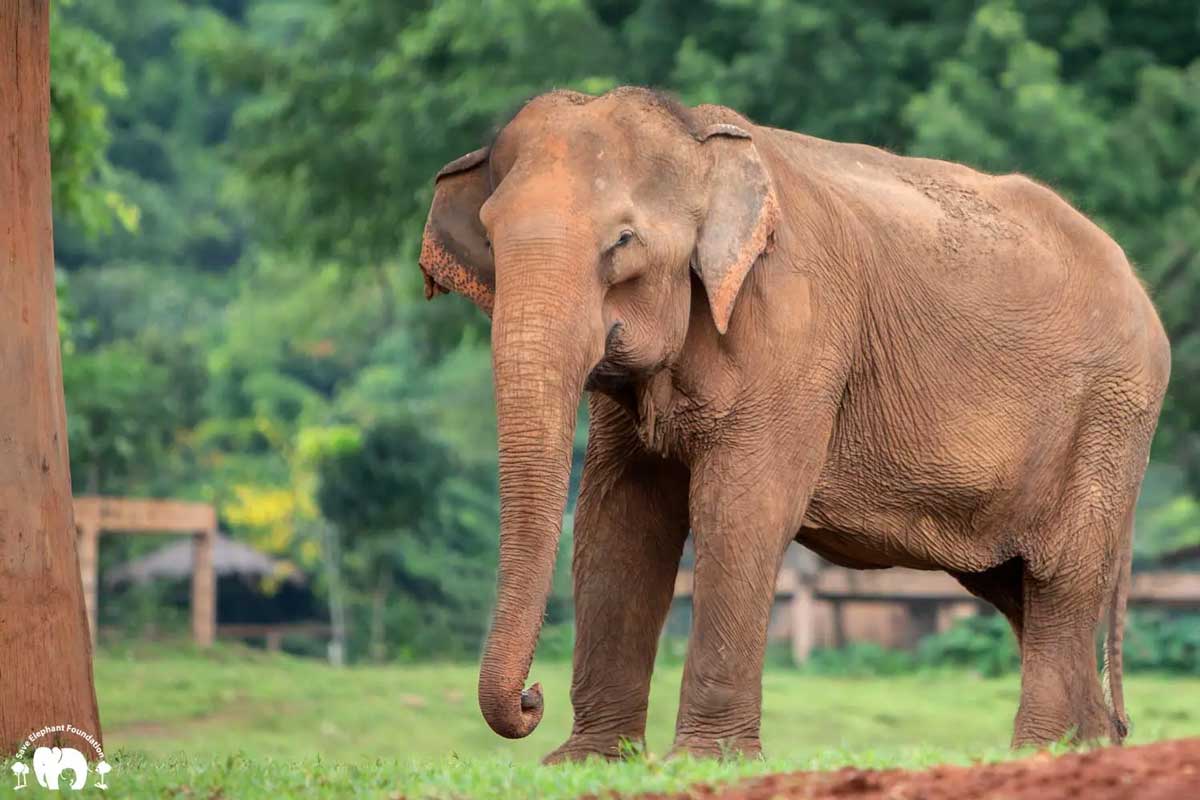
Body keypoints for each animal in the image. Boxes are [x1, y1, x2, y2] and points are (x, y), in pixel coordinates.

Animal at [415, 84, 1171, 762]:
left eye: (623, 241)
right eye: (490, 240)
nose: (531, 698)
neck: (700, 137)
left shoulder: (798, 327)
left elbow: (740, 508)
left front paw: (706, 762)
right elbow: (620, 517)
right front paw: (589, 764)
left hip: (1109, 415)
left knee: (1060, 580)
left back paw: (1040, 756)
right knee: (1019, 589)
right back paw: (1092, 749)